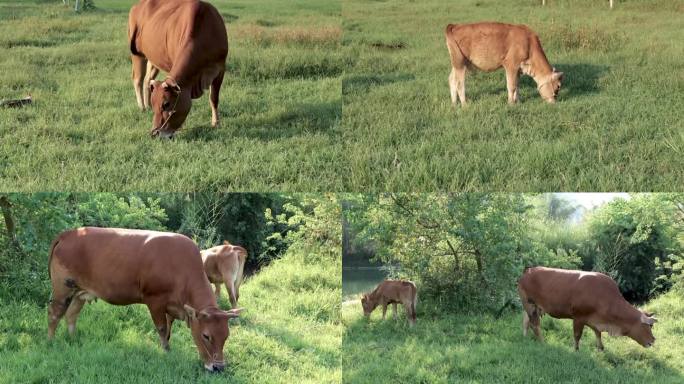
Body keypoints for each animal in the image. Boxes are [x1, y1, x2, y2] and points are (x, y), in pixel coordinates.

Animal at [47, 228, 243, 372]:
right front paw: (166, 352)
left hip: (79, 292)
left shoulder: (173, 306)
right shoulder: (155, 300)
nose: (218, 368)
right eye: (206, 335)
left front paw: (168, 347)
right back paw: (51, 341)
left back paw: (73, 339)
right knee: (54, 314)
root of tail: (69, 233)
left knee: (71, 315)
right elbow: (162, 328)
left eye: (226, 335)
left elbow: (169, 328)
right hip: (63, 288)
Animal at [130, 0, 231, 138]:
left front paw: (216, 123)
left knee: (146, 79)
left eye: (166, 104)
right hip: (137, 54)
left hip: (153, 58)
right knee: (137, 79)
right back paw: (142, 107)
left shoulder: (220, 69)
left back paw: (146, 105)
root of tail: (137, 6)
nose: (154, 133)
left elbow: (214, 98)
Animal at [520, 268, 656, 352]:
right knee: (535, 325)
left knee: (526, 322)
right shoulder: (578, 318)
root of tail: (528, 271)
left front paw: (601, 348)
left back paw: (525, 337)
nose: (653, 340)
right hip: (530, 305)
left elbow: (598, 334)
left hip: (532, 307)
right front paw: (576, 350)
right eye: (647, 326)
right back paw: (542, 342)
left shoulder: (594, 320)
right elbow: (577, 336)